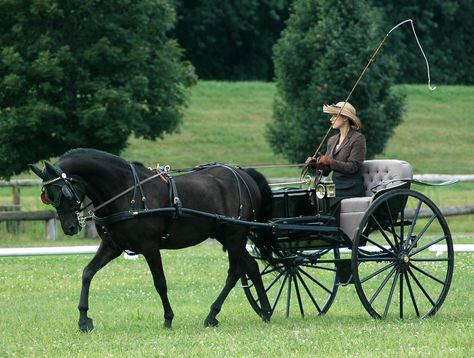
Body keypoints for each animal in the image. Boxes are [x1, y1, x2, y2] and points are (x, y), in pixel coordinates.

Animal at [29, 148, 272, 330]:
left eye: (64, 191)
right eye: (47, 195)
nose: (70, 227)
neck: (126, 191)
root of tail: (244, 173)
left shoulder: (150, 246)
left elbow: (160, 282)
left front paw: (168, 318)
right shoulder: (112, 246)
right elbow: (88, 273)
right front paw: (84, 320)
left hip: (235, 234)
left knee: (235, 271)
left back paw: (213, 314)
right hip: (226, 236)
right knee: (250, 266)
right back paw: (265, 311)